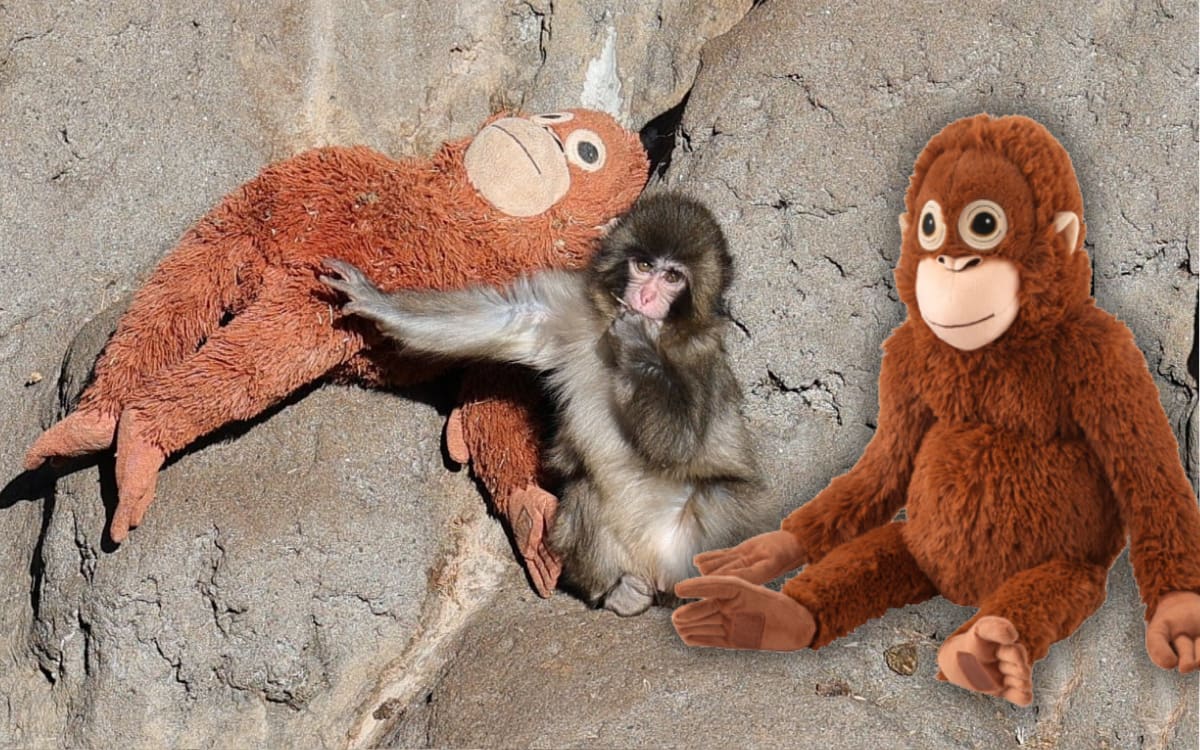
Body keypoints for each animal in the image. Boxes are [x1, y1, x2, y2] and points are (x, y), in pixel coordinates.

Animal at [320, 192, 772, 615]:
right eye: (644, 266)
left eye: (673, 276)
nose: (645, 296)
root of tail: (657, 572)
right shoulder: (570, 306)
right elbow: (510, 319)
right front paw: (373, 298)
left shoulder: (701, 356)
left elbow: (681, 446)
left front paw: (638, 341)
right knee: (584, 490)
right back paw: (620, 592)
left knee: (720, 495)